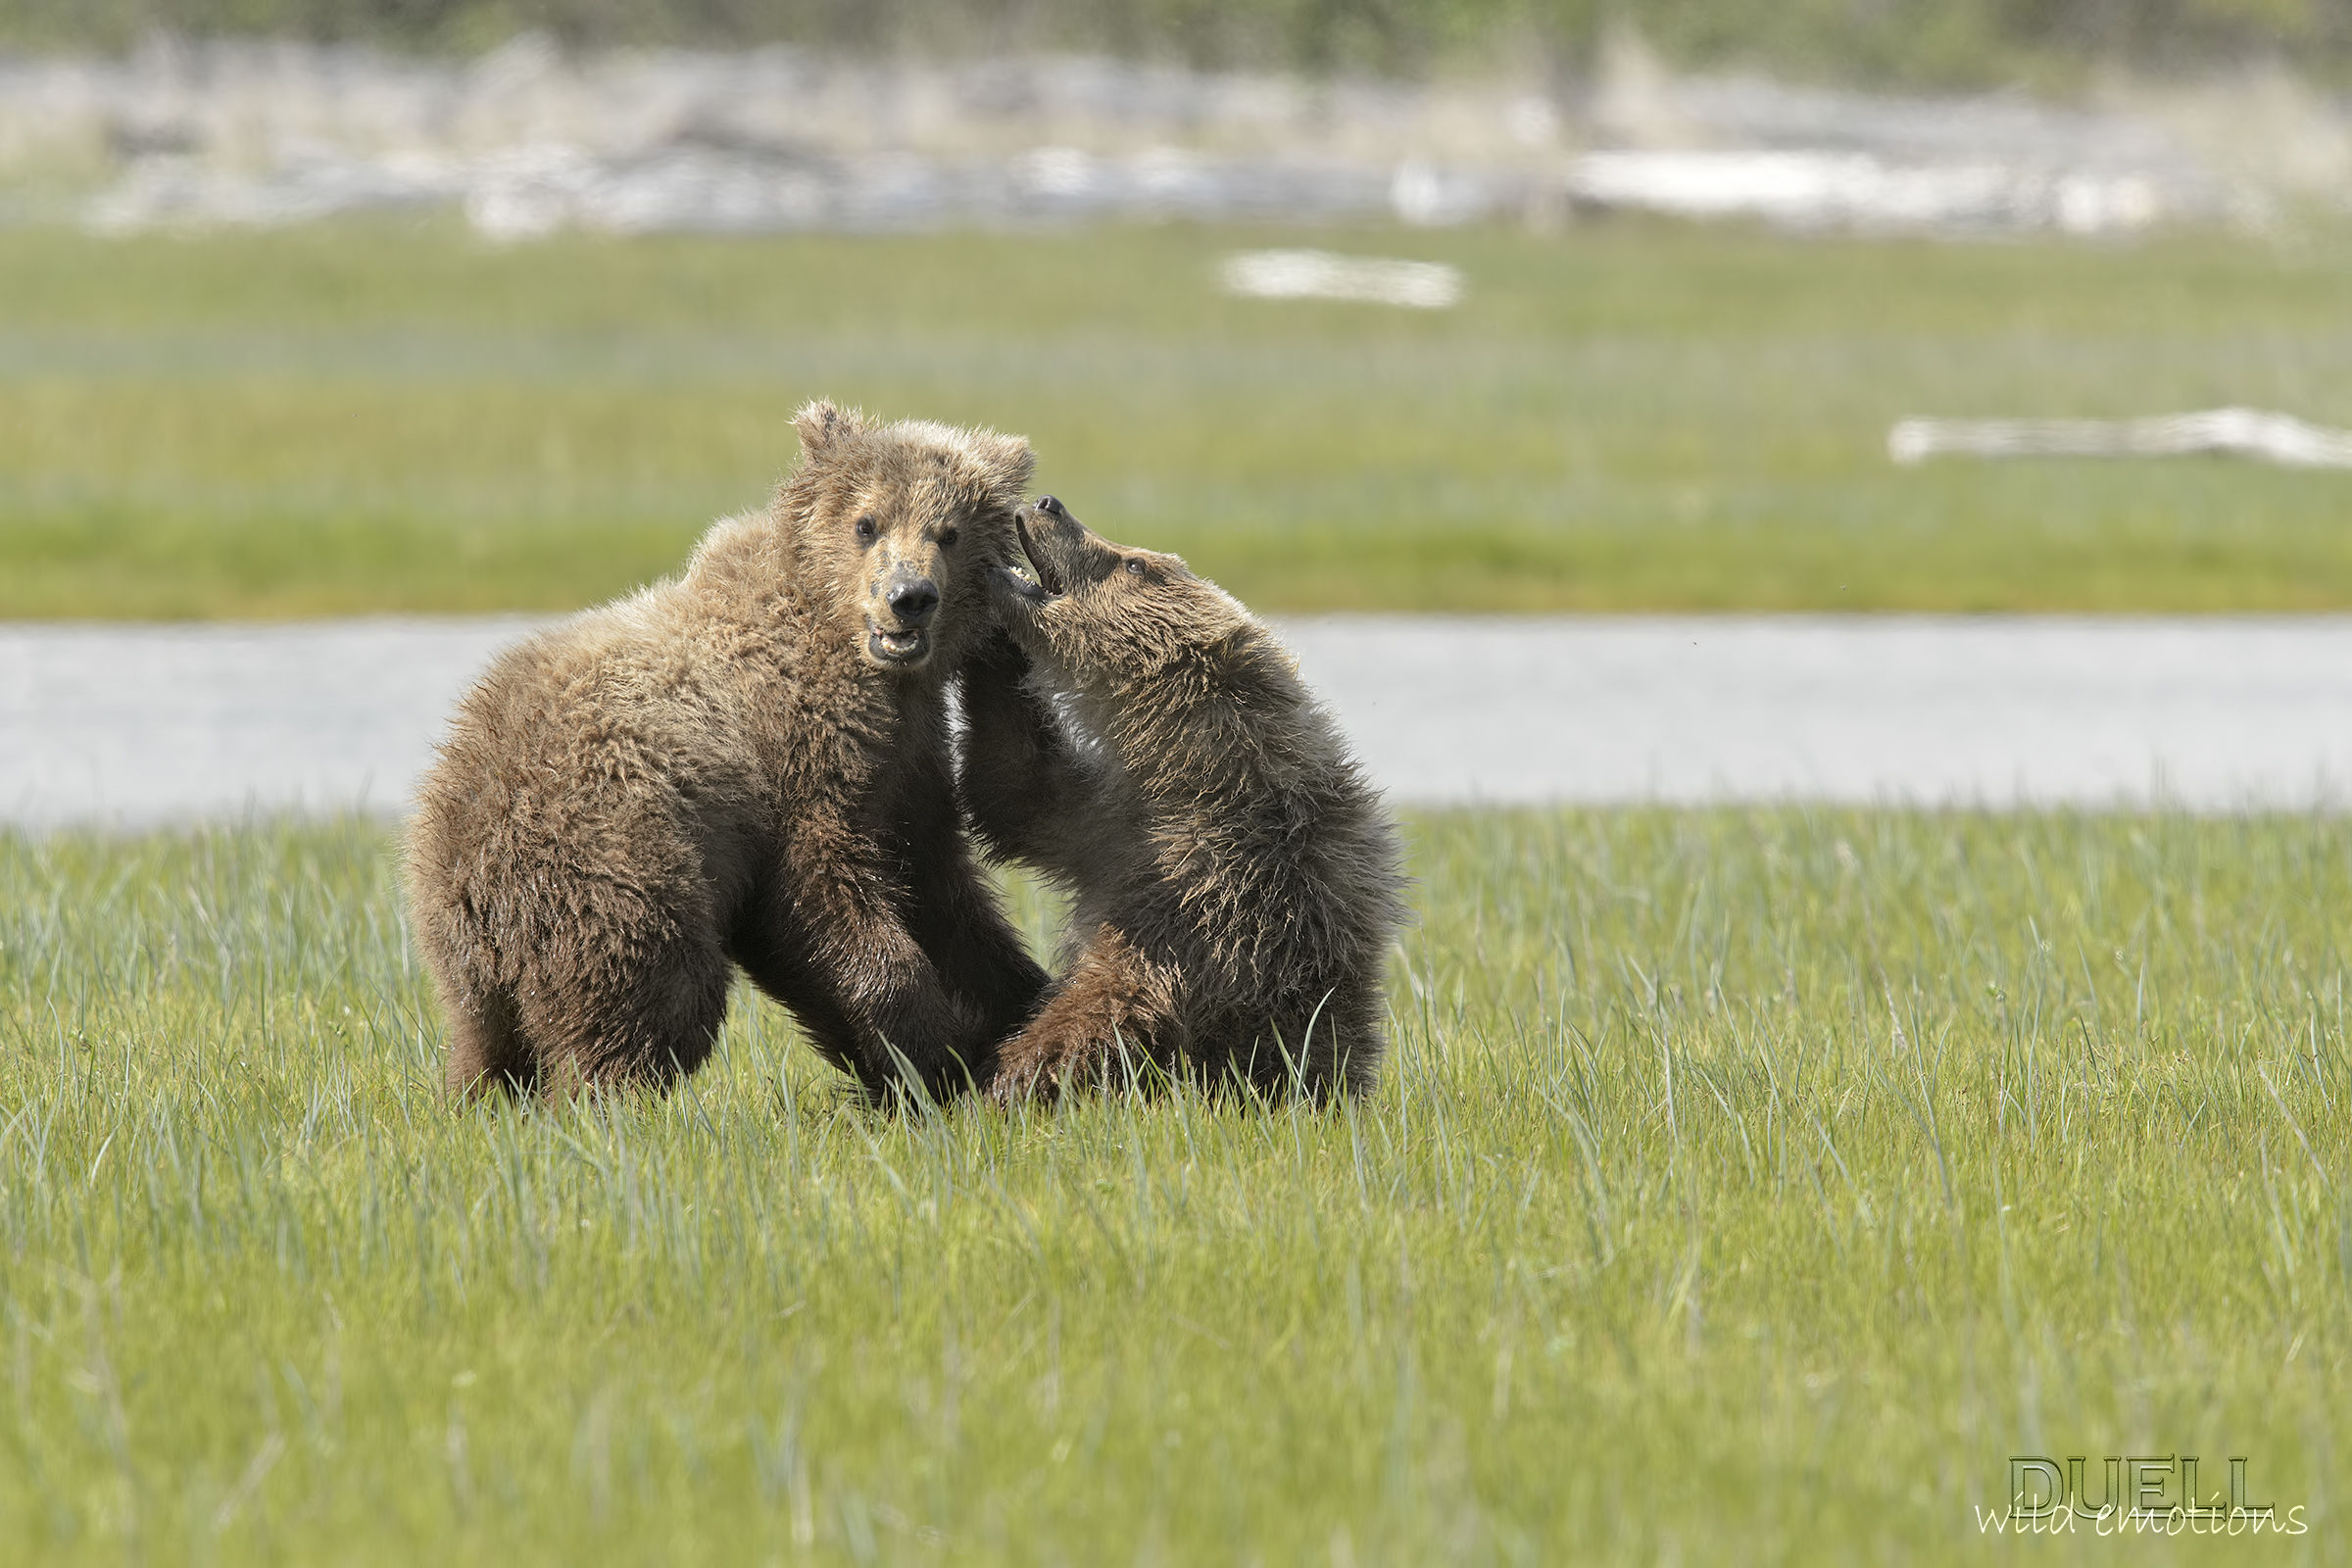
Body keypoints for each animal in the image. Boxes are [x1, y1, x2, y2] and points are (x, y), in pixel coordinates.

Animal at [404, 401, 1048, 1101]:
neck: (865, 662)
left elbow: (939, 887)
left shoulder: (907, 761)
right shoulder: (803, 756)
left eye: (950, 531)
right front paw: (929, 1048)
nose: (910, 598)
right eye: (867, 522)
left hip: (470, 960)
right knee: (656, 997)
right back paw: (609, 1096)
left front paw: (1019, 999)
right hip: (609, 860)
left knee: (487, 1047)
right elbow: (816, 899)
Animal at [957, 493, 1407, 1101]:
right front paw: (989, 638)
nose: (1050, 504)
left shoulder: (1223, 887)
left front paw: (1012, 1075)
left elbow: (1125, 990)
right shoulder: (1110, 822)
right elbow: (1015, 786)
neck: (1188, 775)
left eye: (1134, 563)